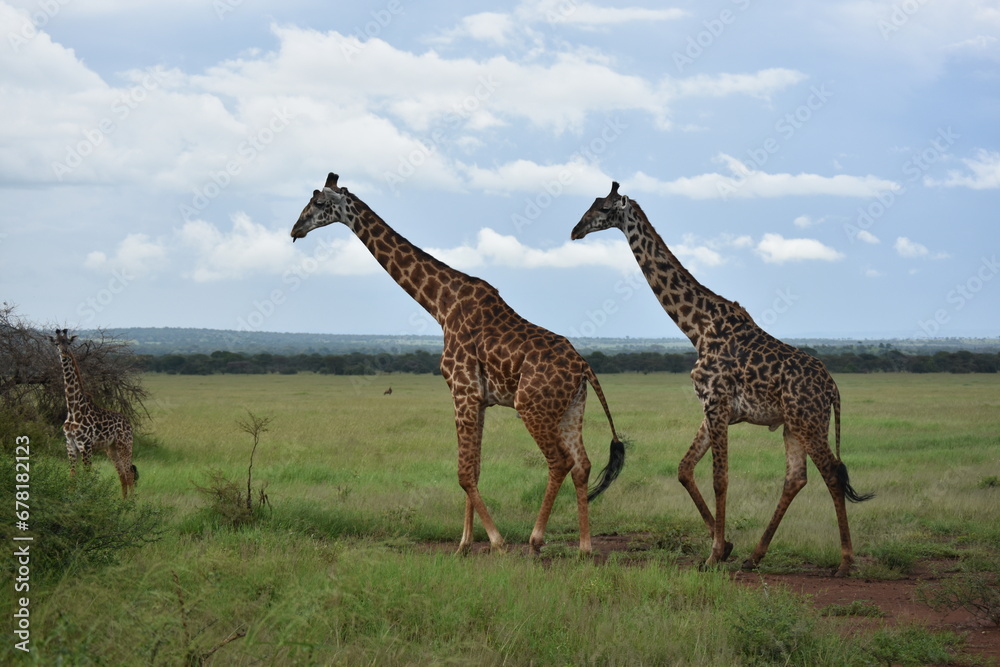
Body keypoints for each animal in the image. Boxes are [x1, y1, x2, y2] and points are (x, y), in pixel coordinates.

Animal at [49, 329, 138, 498]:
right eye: (56, 343)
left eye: (68, 342)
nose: (64, 352)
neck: (73, 409)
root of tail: (128, 423)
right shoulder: (70, 444)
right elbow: (72, 475)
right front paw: (71, 498)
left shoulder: (86, 444)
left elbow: (87, 475)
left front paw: (85, 498)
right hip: (111, 448)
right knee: (122, 475)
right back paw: (123, 502)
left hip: (125, 445)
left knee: (129, 473)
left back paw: (132, 503)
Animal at [290, 173, 625, 555]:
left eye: (318, 203)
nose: (295, 229)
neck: (440, 304)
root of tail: (585, 368)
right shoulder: (477, 399)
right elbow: (474, 470)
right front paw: (464, 544)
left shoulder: (462, 390)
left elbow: (463, 473)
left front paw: (495, 542)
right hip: (571, 408)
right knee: (582, 464)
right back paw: (584, 547)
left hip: (532, 406)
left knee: (560, 462)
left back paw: (535, 540)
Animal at [571, 182, 873, 576]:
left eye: (604, 208)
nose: (575, 230)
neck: (696, 327)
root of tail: (833, 388)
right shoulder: (712, 408)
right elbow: (684, 469)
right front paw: (726, 545)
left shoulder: (716, 404)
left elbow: (720, 478)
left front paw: (713, 554)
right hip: (794, 425)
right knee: (796, 477)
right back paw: (755, 555)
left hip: (809, 420)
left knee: (833, 473)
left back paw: (845, 562)